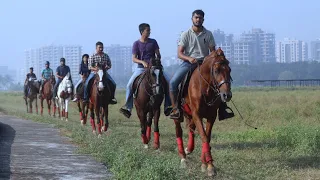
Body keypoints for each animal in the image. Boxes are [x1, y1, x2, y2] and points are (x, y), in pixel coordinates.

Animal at [172, 47, 232, 176]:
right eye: (216, 70)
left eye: (229, 70)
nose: (227, 95)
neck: (205, 87)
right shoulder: (197, 114)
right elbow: (204, 136)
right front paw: (209, 166)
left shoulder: (211, 116)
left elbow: (207, 137)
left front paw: (206, 164)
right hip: (179, 115)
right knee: (179, 131)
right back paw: (183, 157)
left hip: (189, 115)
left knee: (191, 129)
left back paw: (189, 149)